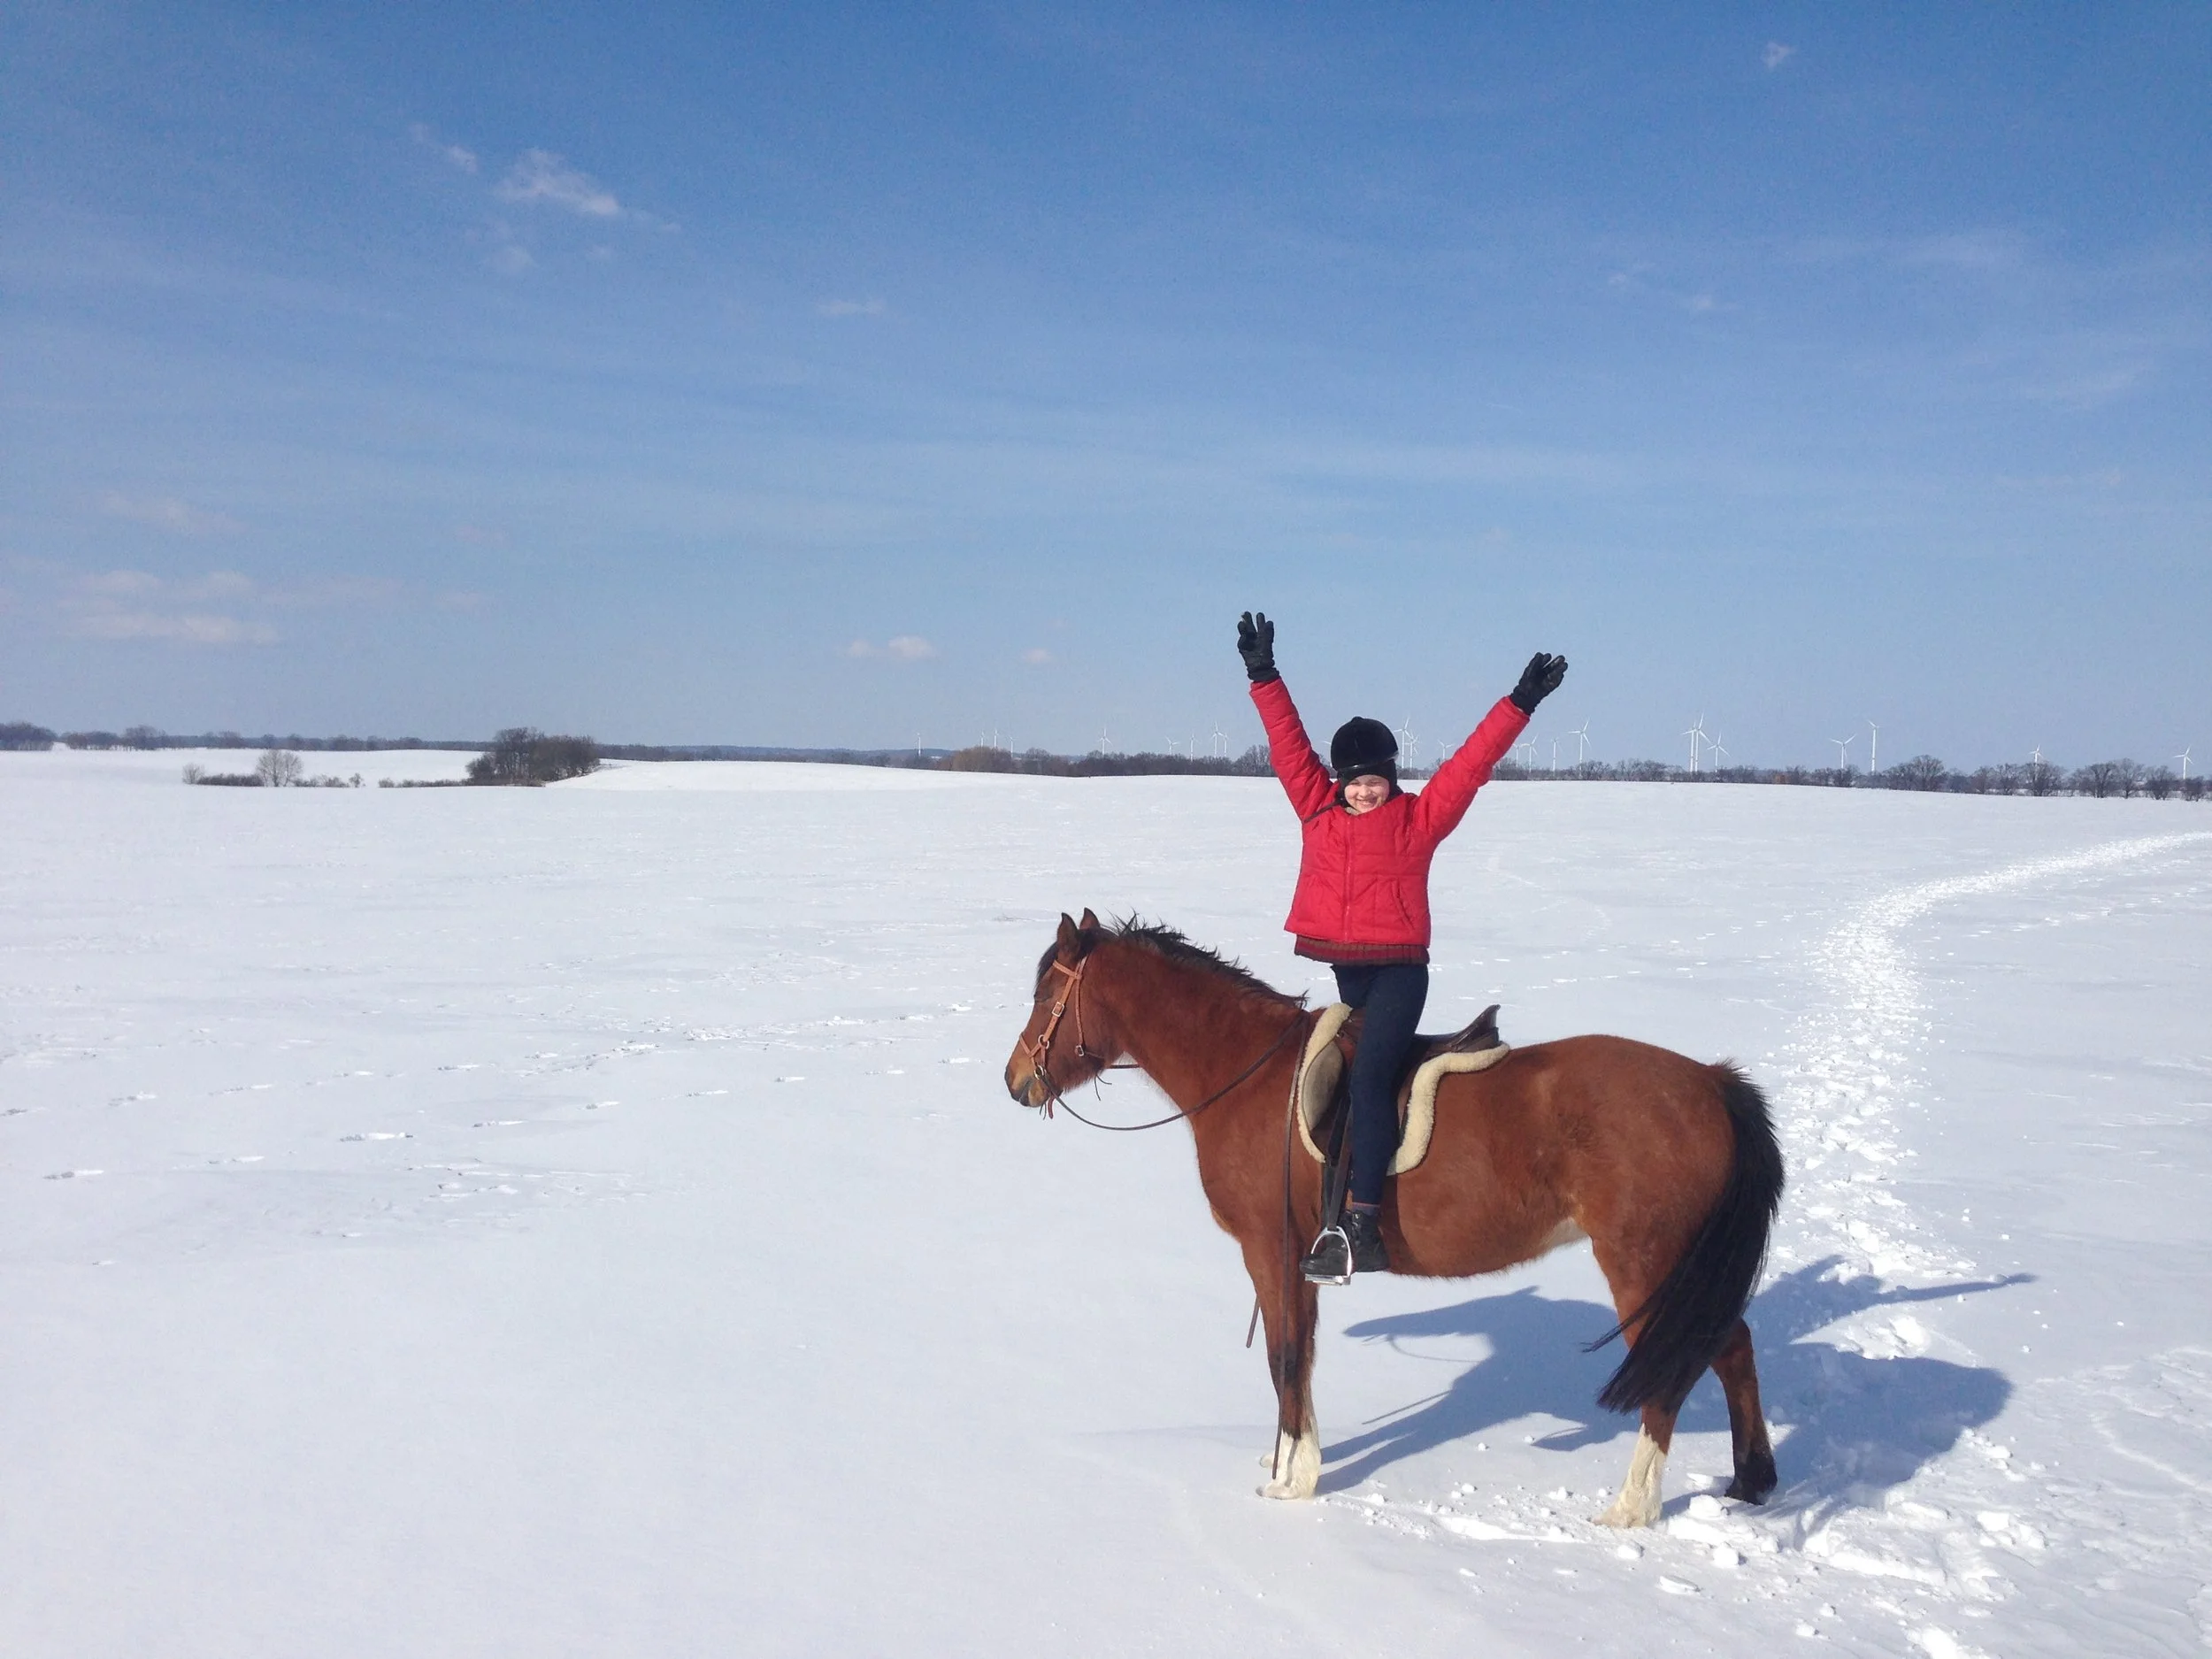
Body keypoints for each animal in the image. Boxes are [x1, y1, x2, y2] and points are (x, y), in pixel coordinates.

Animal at [1002, 911, 1784, 1526]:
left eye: (1046, 994)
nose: (1015, 1081)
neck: (1247, 1074)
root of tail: (1710, 1082)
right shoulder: (1300, 1258)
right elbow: (1302, 1356)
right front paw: (1295, 1458)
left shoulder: (1270, 1250)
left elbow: (1286, 1356)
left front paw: (1290, 1480)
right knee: (1731, 1347)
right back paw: (1751, 1480)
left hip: (1645, 1265)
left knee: (1669, 1375)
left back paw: (1632, 1506)